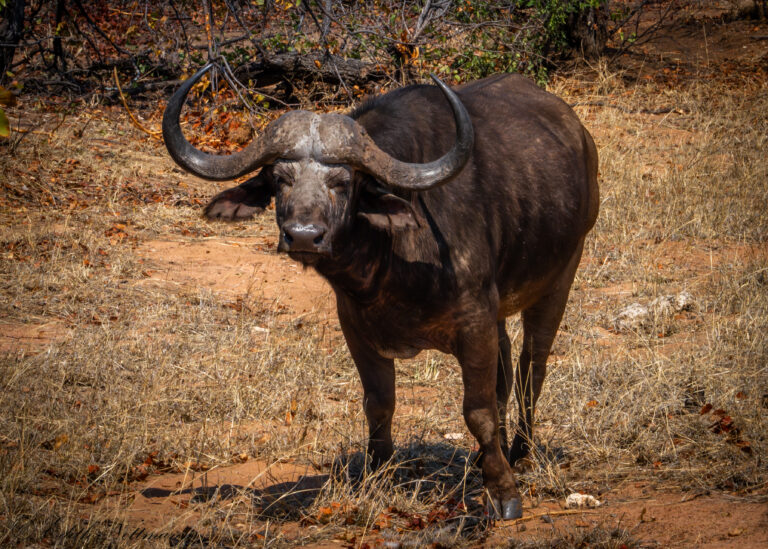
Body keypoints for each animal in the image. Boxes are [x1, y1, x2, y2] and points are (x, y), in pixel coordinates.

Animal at [162, 65, 600, 520]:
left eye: (342, 182)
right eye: (280, 180)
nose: (303, 235)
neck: (389, 261)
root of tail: (580, 135)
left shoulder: (474, 320)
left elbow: (478, 411)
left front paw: (503, 493)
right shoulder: (357, 329)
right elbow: (379, 404)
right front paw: (379, 474)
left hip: (560, 276)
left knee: (533, 368)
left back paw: (520, 454)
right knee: (508, 368)